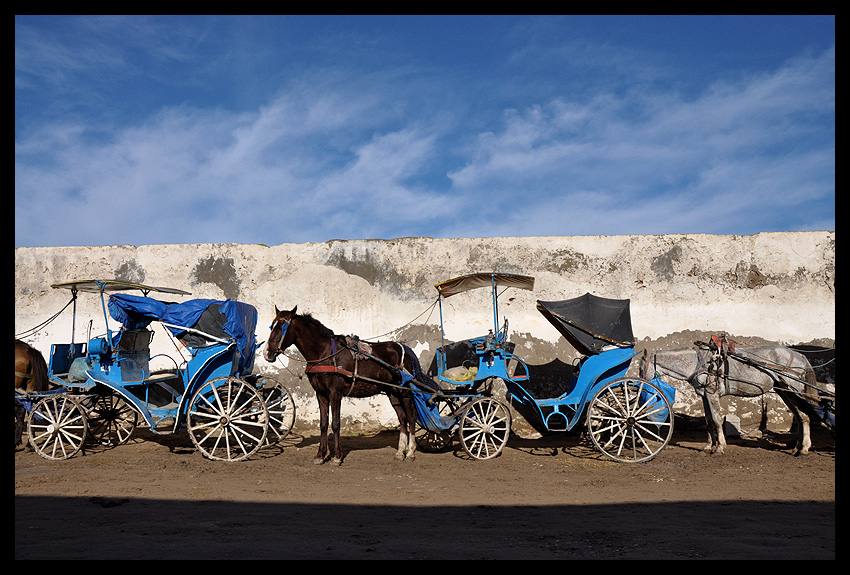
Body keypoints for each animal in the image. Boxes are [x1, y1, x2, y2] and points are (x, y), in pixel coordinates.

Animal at [260, 308, 416, 466]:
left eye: (282, 327)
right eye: (272, 326)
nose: (267, 353)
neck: (324, 353)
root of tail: (403, 347)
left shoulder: (335, 393)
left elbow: (335, 424)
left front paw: (337, 457)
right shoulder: (320, 394)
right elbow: (323, 424)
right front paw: (320, 455)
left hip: (405, 391)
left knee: (411, 417)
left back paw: (410, 452)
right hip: (393, 392)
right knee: (402, 418)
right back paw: (400, 452)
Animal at [644, 344, 816, 456]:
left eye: (641, 367)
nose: (640, 383)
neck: (699, 363)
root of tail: (800, 355)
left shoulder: (712, 395)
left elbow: (717, 420)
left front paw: (720, 448)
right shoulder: (705, 396)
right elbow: (709, 421)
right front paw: (708, 446)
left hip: (794, 392)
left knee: (804, 416)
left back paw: (804, 449)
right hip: (785, 392)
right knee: (799, 417)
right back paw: (796, 448)